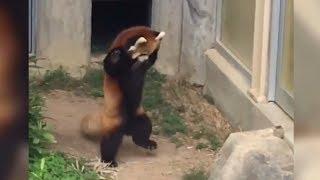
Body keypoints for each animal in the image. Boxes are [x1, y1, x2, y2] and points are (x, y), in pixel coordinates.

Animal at [80, 26, 165, 167]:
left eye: (148, 54)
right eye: (140, 54)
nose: (144, 60)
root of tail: (127, 130)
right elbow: (111, 66)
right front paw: (116, 57)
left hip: (138, 114)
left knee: (144, 127)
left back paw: (146, 142)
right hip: (116, 120)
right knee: (110, 142)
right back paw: (109, 160)